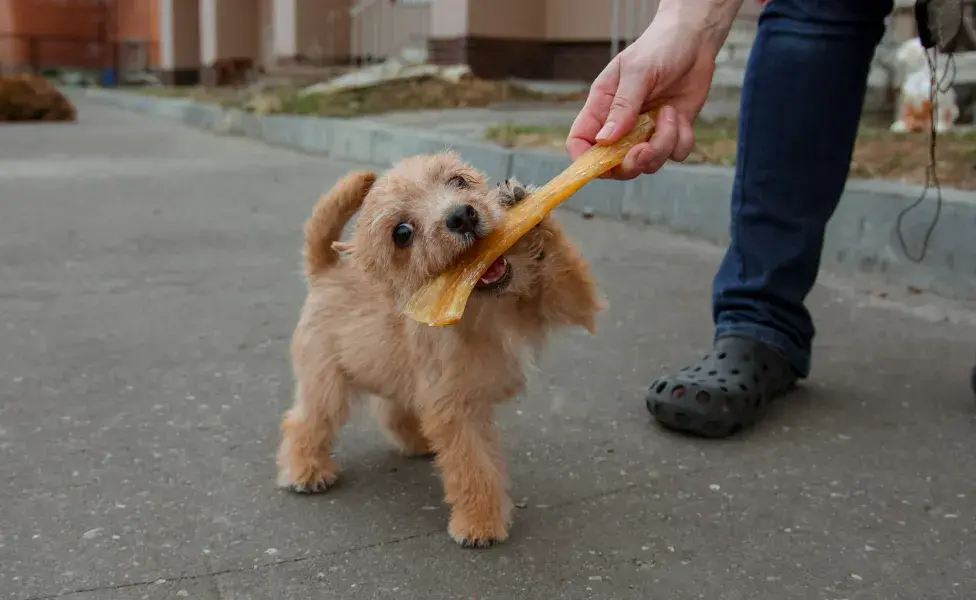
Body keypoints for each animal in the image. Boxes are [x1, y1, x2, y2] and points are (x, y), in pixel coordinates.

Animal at [274, 151, 604, 548]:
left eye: (458, 181)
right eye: (402, 233)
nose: (462, 215)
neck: (483, 306)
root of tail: (325, 271)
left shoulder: (568, 301)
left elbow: (566, 269)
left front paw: (524, 208)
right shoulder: (455, 410)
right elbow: (473, 469)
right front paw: (479, 523)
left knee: (389, 412)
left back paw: (417, 442)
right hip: (327, 385)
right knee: (305, 422)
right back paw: (305, 471)